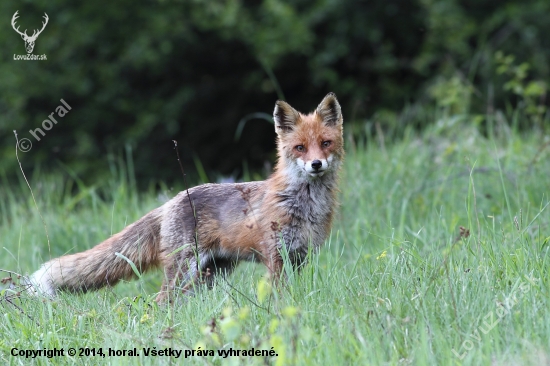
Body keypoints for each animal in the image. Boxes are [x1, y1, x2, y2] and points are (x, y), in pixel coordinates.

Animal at [29, 92, 344, 304]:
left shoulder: (302, 256)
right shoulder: (275, 256)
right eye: (300, 147)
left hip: (211, 274)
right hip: (185, 269)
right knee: (161, 301)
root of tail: (171, 200)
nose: (316, 164)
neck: (303, 204)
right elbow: (278, 295)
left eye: (325, 143)